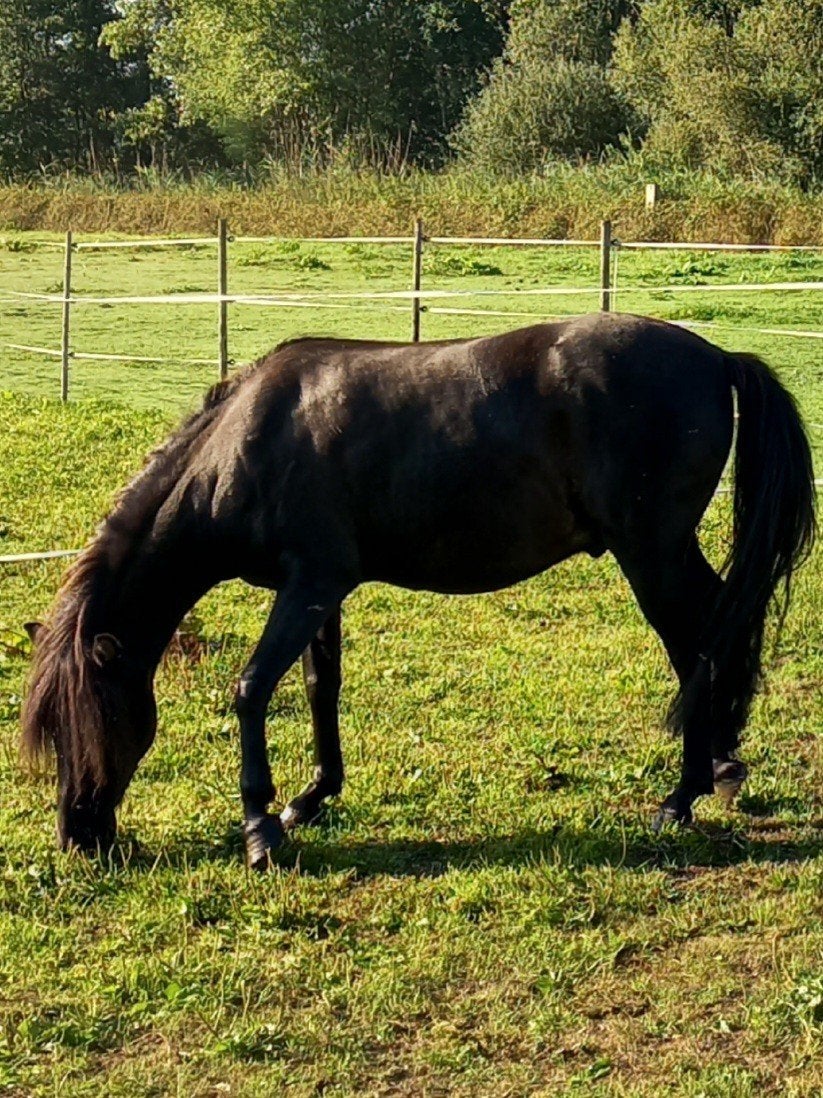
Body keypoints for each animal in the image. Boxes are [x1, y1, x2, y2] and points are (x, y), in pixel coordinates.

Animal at [21, 313, 815, 869]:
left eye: (86, 720)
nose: (77, 836)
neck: (245, 442)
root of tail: (717, 358)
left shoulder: (309, 585)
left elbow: (251, 689)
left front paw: (260, 829)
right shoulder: (321, 591)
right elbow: (320, 689)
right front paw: (310, 799)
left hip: (651, 553)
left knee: (698, 646)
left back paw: (681, 797)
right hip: (664, 552)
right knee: (720, 630)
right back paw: (722, 763)